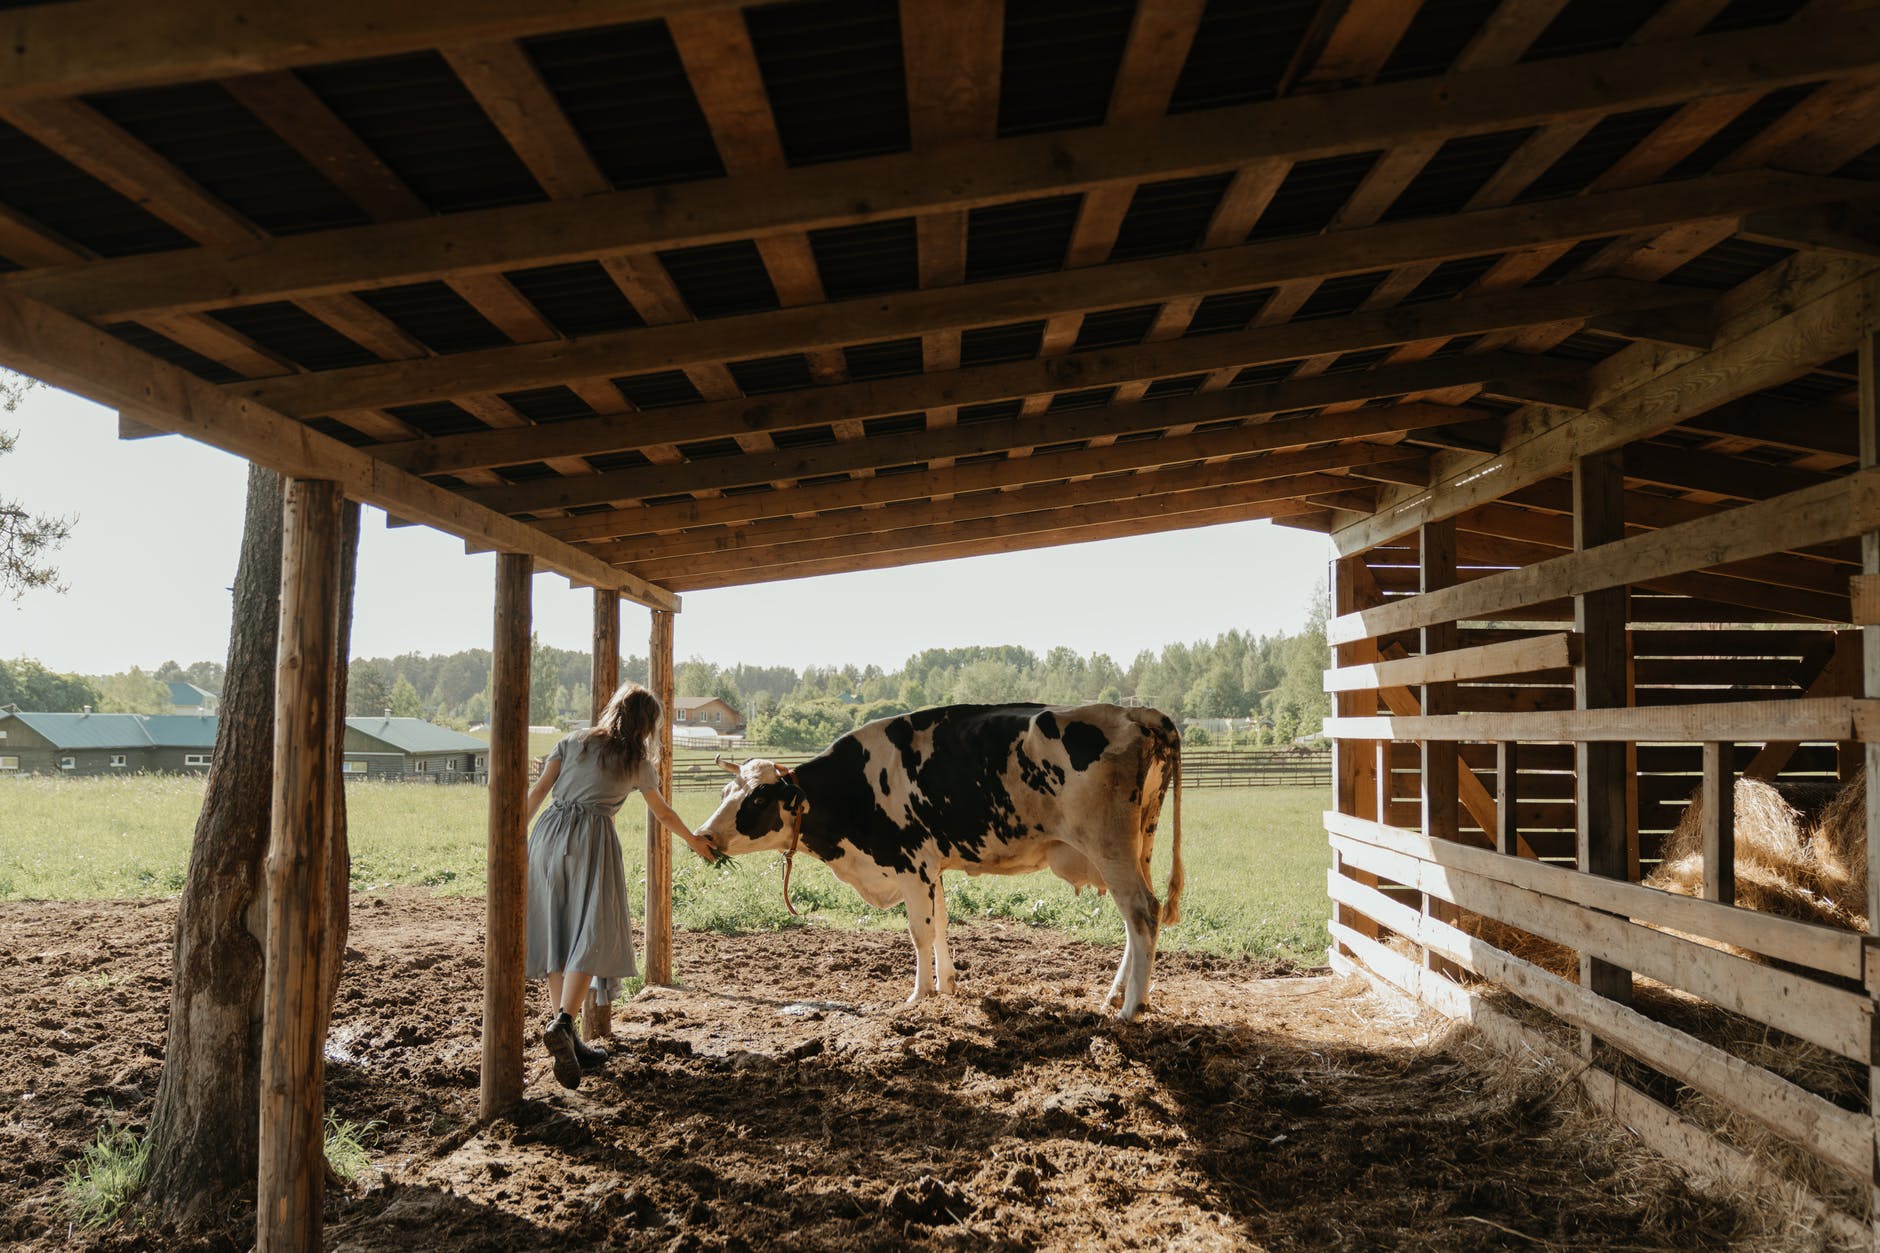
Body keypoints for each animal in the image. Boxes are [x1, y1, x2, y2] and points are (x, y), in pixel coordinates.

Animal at [699, 696, 1180, 1023]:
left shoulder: (911, 865)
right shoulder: (932, 867)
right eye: (725, 791)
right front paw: (947, 985)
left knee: (1142, 912)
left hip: (1109, 847)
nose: (704, 835)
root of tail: (1134, 713)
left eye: (758, 798)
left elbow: (920, 932)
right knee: (1139, 921)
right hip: (1139, 846)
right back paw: (1119, 995)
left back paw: (1130, 1009)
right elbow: (943, 923)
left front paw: (918, 995)